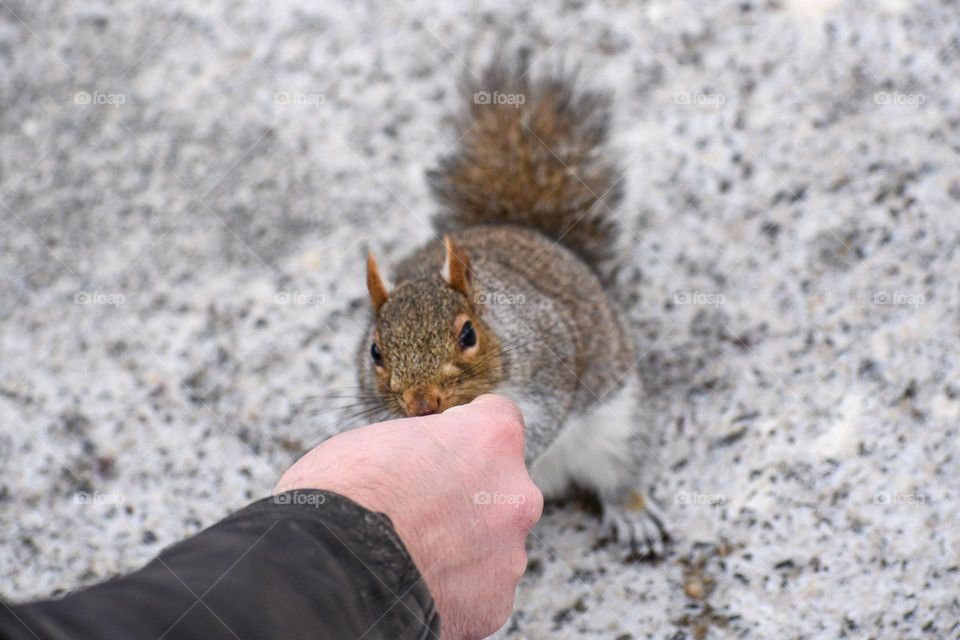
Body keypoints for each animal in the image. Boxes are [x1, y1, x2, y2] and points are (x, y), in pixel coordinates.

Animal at [358, 56, 668, 556]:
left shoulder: (549, 361)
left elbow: (547, 417)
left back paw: (633, 511)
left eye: (468, 334)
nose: (423, 403)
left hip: (616, 422)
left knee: (619, 466)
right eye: (374, 352)